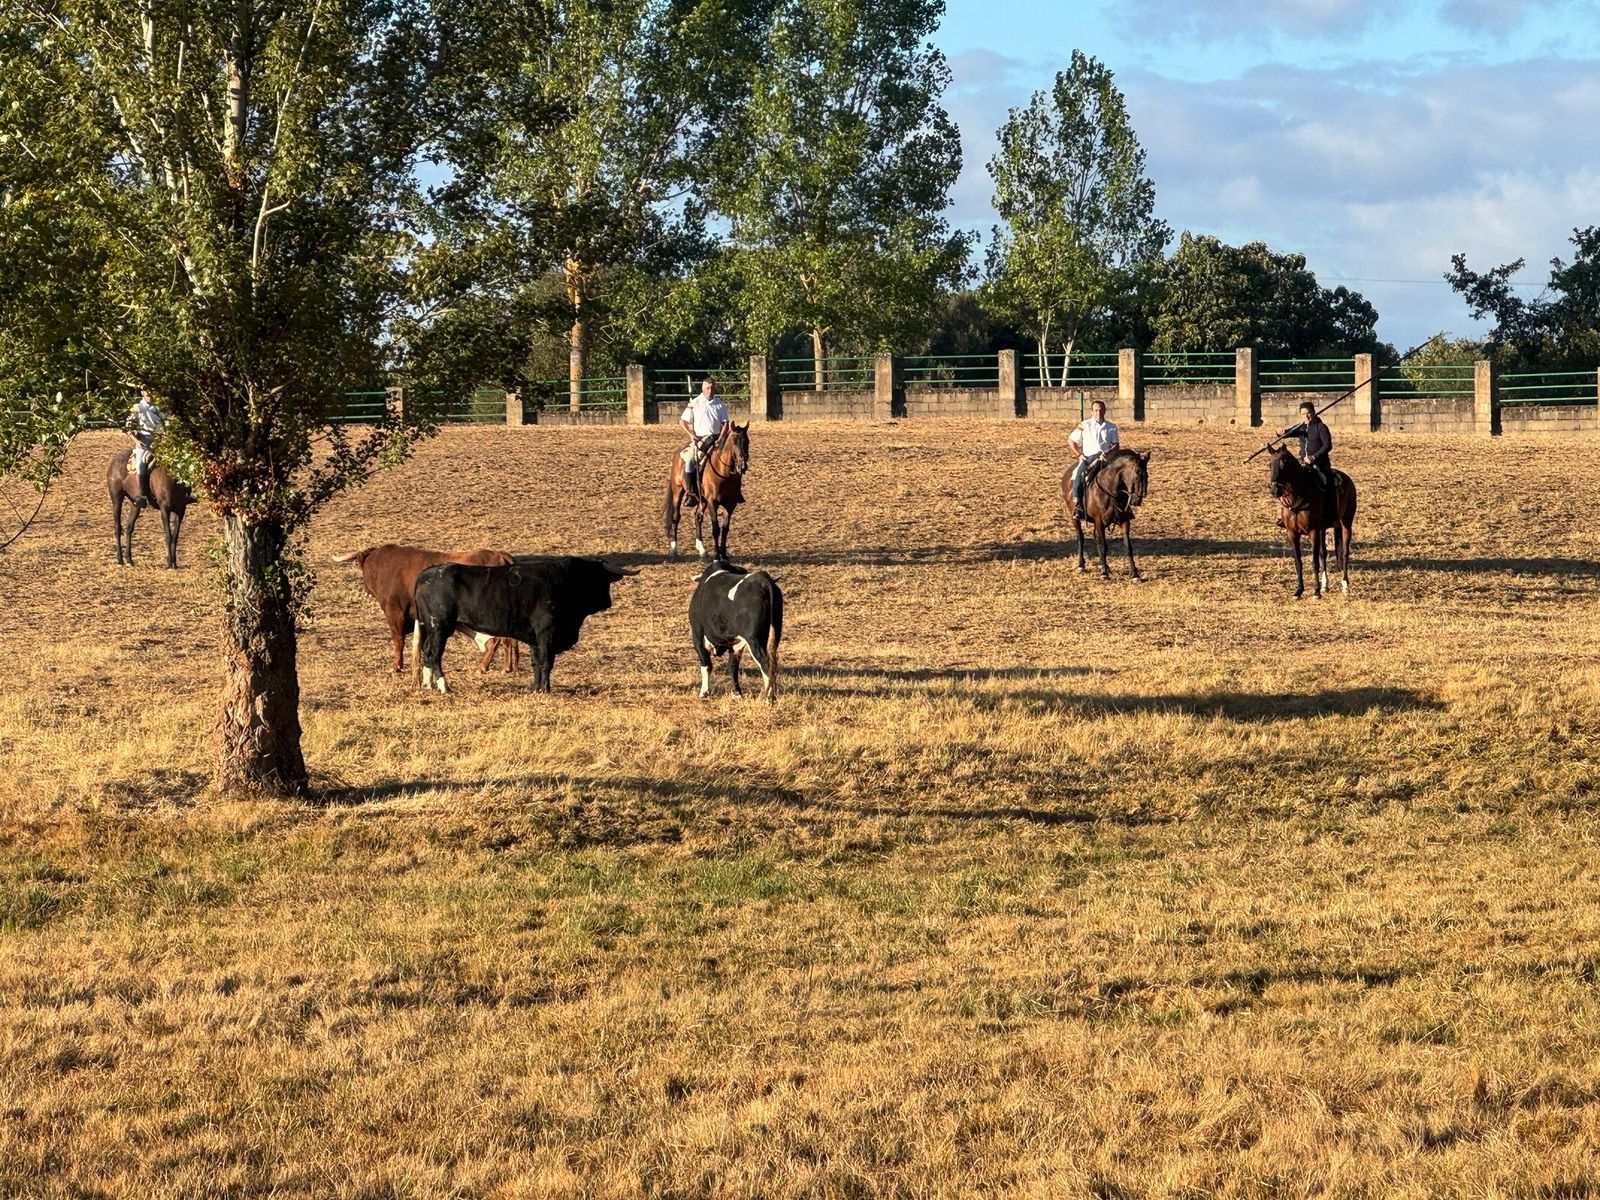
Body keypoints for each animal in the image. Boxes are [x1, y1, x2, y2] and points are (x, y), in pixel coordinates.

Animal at [665, 422, 749, 559]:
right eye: (734, 441)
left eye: (747, 441)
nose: (743, 466)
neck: (723, 473)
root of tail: (678, 453)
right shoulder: (712, 502)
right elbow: (716, 529)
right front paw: (716, 556)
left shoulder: (730, 504)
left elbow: (725, 529)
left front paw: (723, 555)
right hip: (678, 492)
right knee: (676, 517)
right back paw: (674, 549)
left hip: (702, 500)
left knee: (698, 517)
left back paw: (702, 550)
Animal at [1061, 448, 1151, 579]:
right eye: (1137, 474)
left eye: (1147, 475)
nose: (1137, 500)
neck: (1111, 491)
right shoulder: (1099, 521)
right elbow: (1102, 545)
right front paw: (1104, 573)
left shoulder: (1124, 521)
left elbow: (1128, 547)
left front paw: (1135, 574)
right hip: (1074, 517)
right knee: (1080, 538)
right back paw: (1081, 565)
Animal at [1267, 446, 1356, 598]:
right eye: (1269, 465)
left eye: (1284, 463)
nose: (1275, 489)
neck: (1297, 499)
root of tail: (1348, 480)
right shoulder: (1292, 534)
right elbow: (1299, 562)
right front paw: (1299, 590)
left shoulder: (1312, 531)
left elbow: (1314, 562)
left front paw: (1316, 591)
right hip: (1323, 529)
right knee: (1324, 553)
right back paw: (1325, 585)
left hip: (1346, 523)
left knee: (1345, 552)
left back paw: (1345, 584)